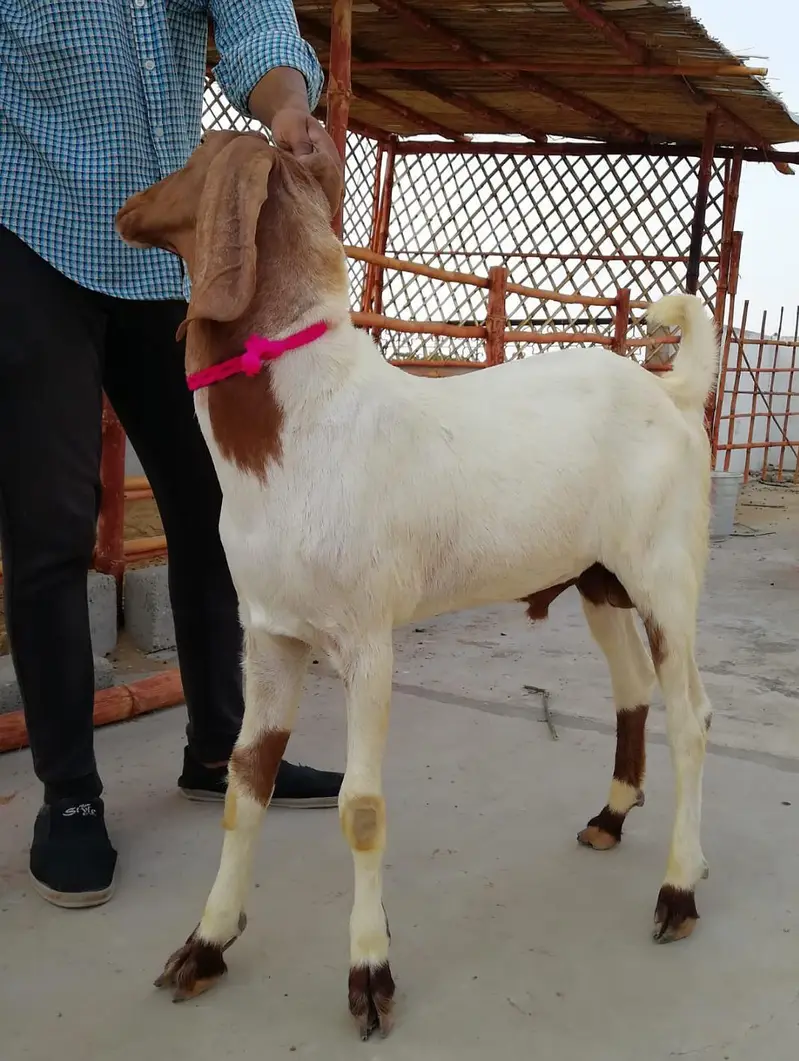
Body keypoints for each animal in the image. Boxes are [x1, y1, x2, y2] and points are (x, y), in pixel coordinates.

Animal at [117, 130, 718, 1040]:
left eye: (194, 159)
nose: (123, 206)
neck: (302, 422)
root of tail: (670, 390)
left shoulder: (366, 637)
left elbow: (361, 806)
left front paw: (370, 974)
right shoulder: (270, 634)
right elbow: (245, 783)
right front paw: (206, 944)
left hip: (665, 576)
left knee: (690, 715)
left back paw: (678, 892)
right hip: (598, 579)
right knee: (633, 688)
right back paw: (612, 816)